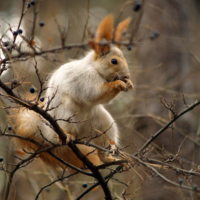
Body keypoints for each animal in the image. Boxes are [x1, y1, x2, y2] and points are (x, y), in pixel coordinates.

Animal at [10, 14, 134, 170]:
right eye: (114, 61)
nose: (127, 76)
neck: (94, 68)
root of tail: (48, 135)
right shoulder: (85, 79)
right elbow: (95, 92)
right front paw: (118, 83)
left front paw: (129, 83)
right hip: (67, 113)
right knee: (67, 130)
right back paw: (67, 136)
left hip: (103, 124)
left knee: (102, 149)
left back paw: (111, 159)